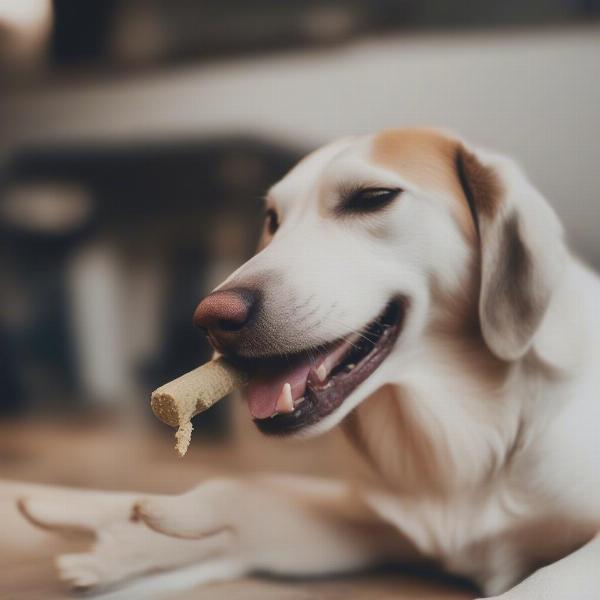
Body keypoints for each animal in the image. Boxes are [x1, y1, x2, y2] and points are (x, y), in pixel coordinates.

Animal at [14, 129, 600, 596]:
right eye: (273, 219)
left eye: (373, 197)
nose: (210, 317)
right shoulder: (372, 524)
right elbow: (238, 493)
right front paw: (127, 532)